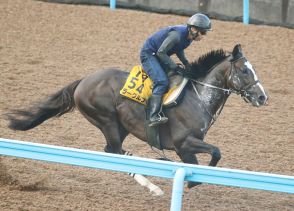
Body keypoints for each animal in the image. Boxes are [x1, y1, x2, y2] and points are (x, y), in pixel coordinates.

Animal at [6, 43, 268, 189]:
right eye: (244, 70)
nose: (262, 97)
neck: (199, 97)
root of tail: (84, 80)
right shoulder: (184, 143)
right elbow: (215, 152)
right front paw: (195, 179)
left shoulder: (186, 149)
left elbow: (202, 162)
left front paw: (194, 179)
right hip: (107, 121)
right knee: (114, 152)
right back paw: (151, 183)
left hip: (120, 126)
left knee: (113, 151)